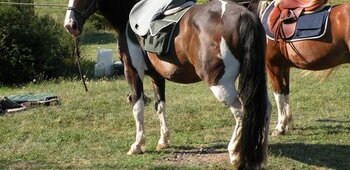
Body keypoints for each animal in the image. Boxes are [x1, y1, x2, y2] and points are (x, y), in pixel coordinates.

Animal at [63, 0, 270, 168]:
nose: (70, 25)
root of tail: (244, 15)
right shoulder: (157, 77)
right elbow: (159, 106)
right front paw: (163, 141)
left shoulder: (132, 72)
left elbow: (137, 107)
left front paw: (137, 145)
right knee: (264, 110)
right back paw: (260, 155)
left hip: (220, 84)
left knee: (242, 111)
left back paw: (235, 153)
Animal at [262, 1, 350, 135]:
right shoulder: (284, 67)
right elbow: (286, 93)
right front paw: (287, 124)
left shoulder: (273, 66)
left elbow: (278, 95)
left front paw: (280, 127)